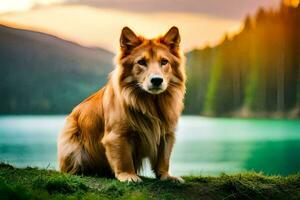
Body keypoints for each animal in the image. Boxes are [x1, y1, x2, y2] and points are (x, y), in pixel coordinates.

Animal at [56, 25, 185, 182]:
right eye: (141, 62)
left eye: (164, 62)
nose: (156, 80)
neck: (151, 103)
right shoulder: (118, 135)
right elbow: (124, 158)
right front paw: (128, 175)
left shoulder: (166, 134)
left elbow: (164, 158)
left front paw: (166, 175)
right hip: (73, 145)